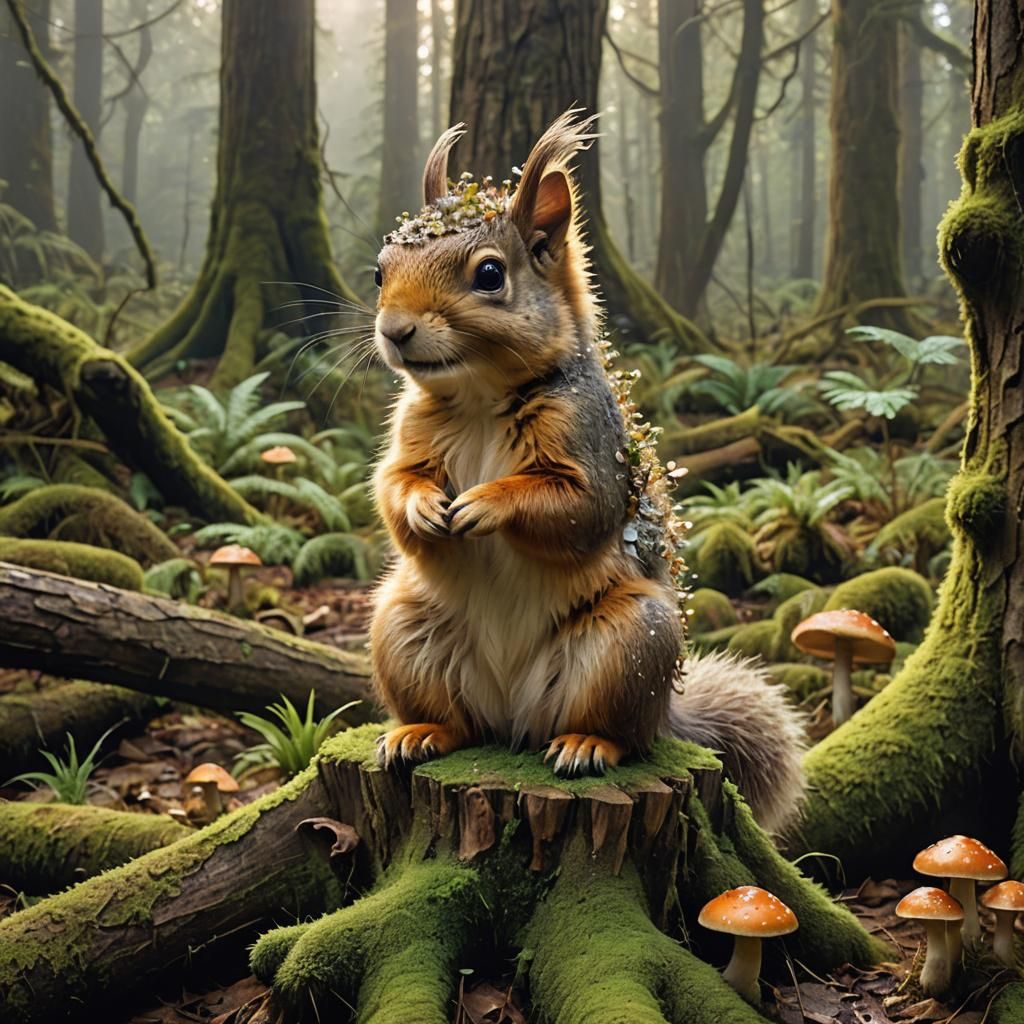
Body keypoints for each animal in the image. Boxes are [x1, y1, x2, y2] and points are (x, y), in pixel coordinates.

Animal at [369, 110, 806, 834]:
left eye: (490, 275)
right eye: (379, 272)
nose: (394, 330)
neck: (480, 398)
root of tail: (513, 716)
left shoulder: (590, 445)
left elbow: (575, 507)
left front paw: (485, 503)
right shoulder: (412, 435)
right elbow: (394, 487)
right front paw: (425, 507)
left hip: (629, 645)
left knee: (618, 730)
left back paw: (584, 745)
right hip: (404, 630)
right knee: (459, 721)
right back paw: (422, 732)